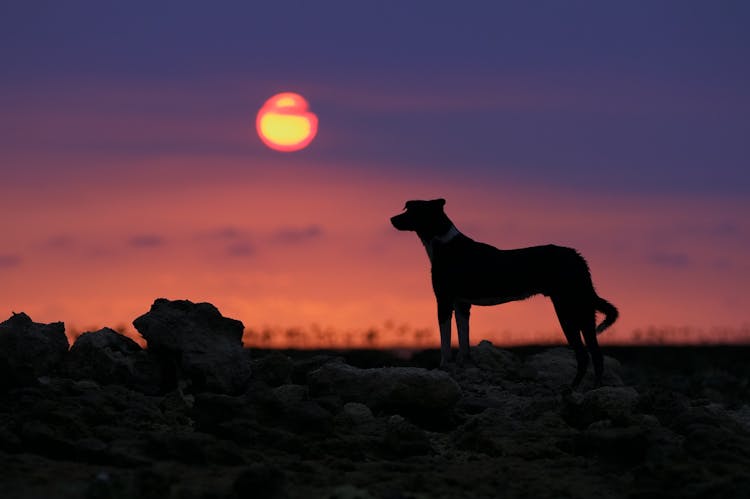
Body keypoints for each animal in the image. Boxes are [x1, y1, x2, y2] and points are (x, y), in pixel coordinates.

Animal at [390, 197, 620, 388]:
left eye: (411, 210)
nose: (392, 219)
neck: (445, 244)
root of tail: (577, 256)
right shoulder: (462, 304)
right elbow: (464, 341)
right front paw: (465, 366)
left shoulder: (443, 301)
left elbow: (445, 341)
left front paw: (444, 367)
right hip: (583, 311)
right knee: (596, 354)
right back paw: (592, 388)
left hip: (567, 310)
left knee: (583, 355)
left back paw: (573, 390)